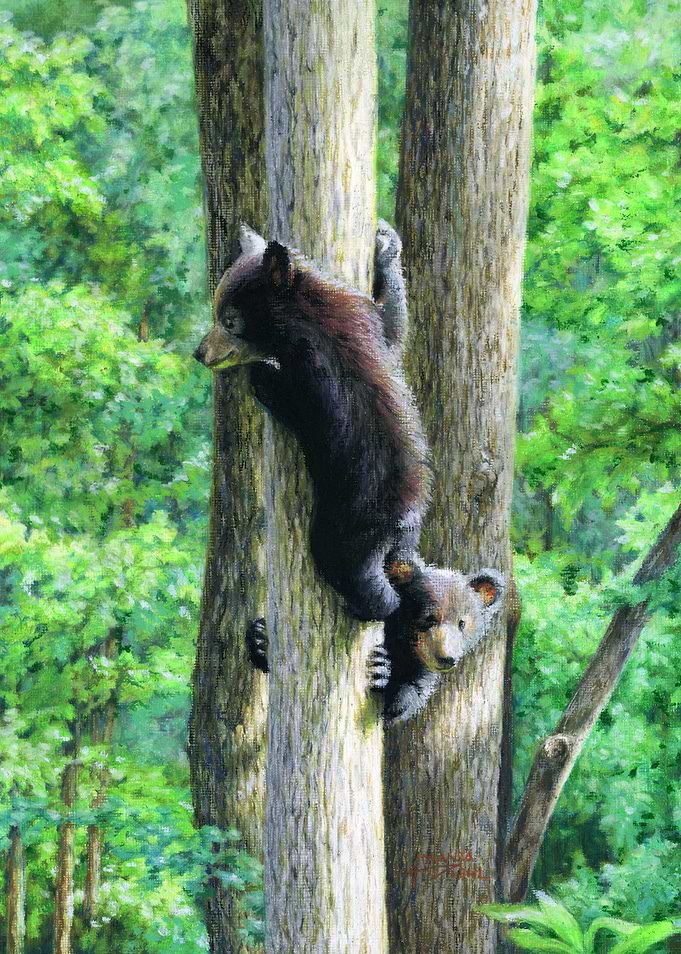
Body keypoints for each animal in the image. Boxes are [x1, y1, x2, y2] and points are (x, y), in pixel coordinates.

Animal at [194, 220, 430, 621]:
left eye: (229, 321)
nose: (200, 352)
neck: (308, 316)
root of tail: (398, 525)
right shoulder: (361, 317)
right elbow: (393, 326)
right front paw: (386, 245)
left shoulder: (316, 370)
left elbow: (302, 407)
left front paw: (264, 374)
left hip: (349, 525)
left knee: (346, 566)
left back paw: (371, 605)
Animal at [246, 560, 505, 724]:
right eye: (429, 618)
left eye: (462, 623)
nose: (447, 657)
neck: (400, 642)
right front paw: (260, 637)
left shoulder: (418, 666)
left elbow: (409, 696)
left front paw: (382, 670)